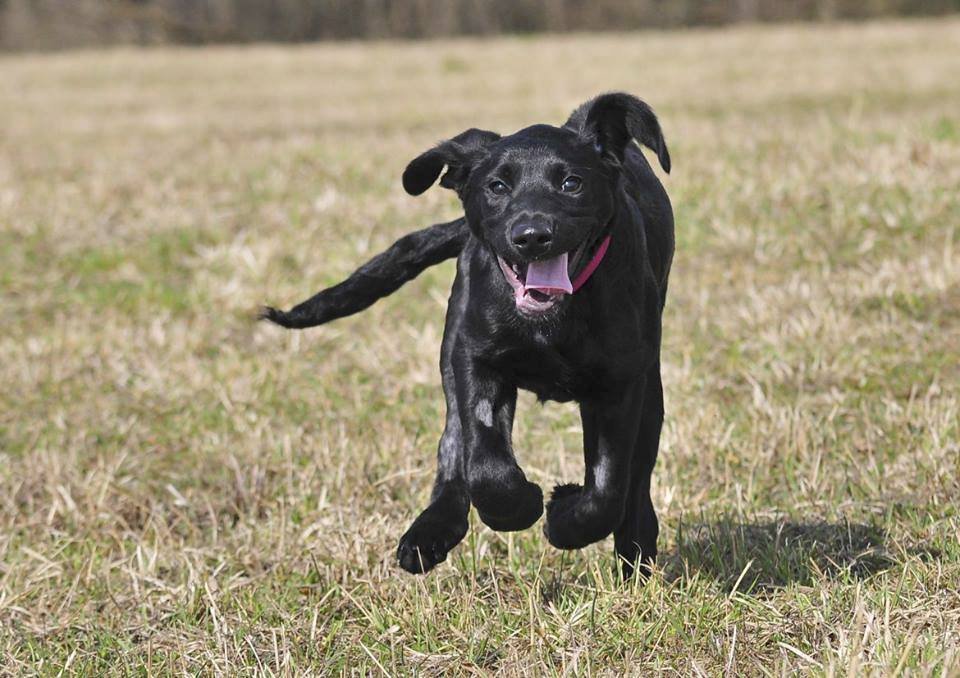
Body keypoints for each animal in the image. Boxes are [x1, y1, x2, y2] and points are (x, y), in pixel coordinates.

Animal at [258, 91, 672, 580]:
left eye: (571, 183)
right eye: (497, 187)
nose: (532, 236)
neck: (551, 325)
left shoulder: (620, 385)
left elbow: (608, 486)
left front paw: (564, 516)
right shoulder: (476, 361)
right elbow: (485, 465)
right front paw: (521, 506)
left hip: (651, 391)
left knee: (636, 482)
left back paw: (636, 553)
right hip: (451, 354)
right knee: (453, 450)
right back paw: (430, 533)